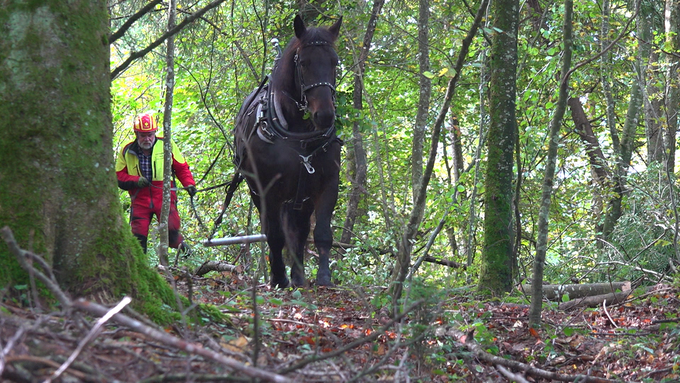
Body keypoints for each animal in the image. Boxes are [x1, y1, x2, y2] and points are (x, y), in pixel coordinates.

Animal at [234, 15, 342, 290]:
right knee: (274, 229)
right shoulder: (267, 189)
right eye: (304, 63)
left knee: (300, 231)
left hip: (300, 197)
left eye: (334, 62)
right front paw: (279, 277)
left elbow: (321, 233)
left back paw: (299, 275)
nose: (325, 116)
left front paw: (323, 277)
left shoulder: (328, 183)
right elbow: (274, 234)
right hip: (258, 192)